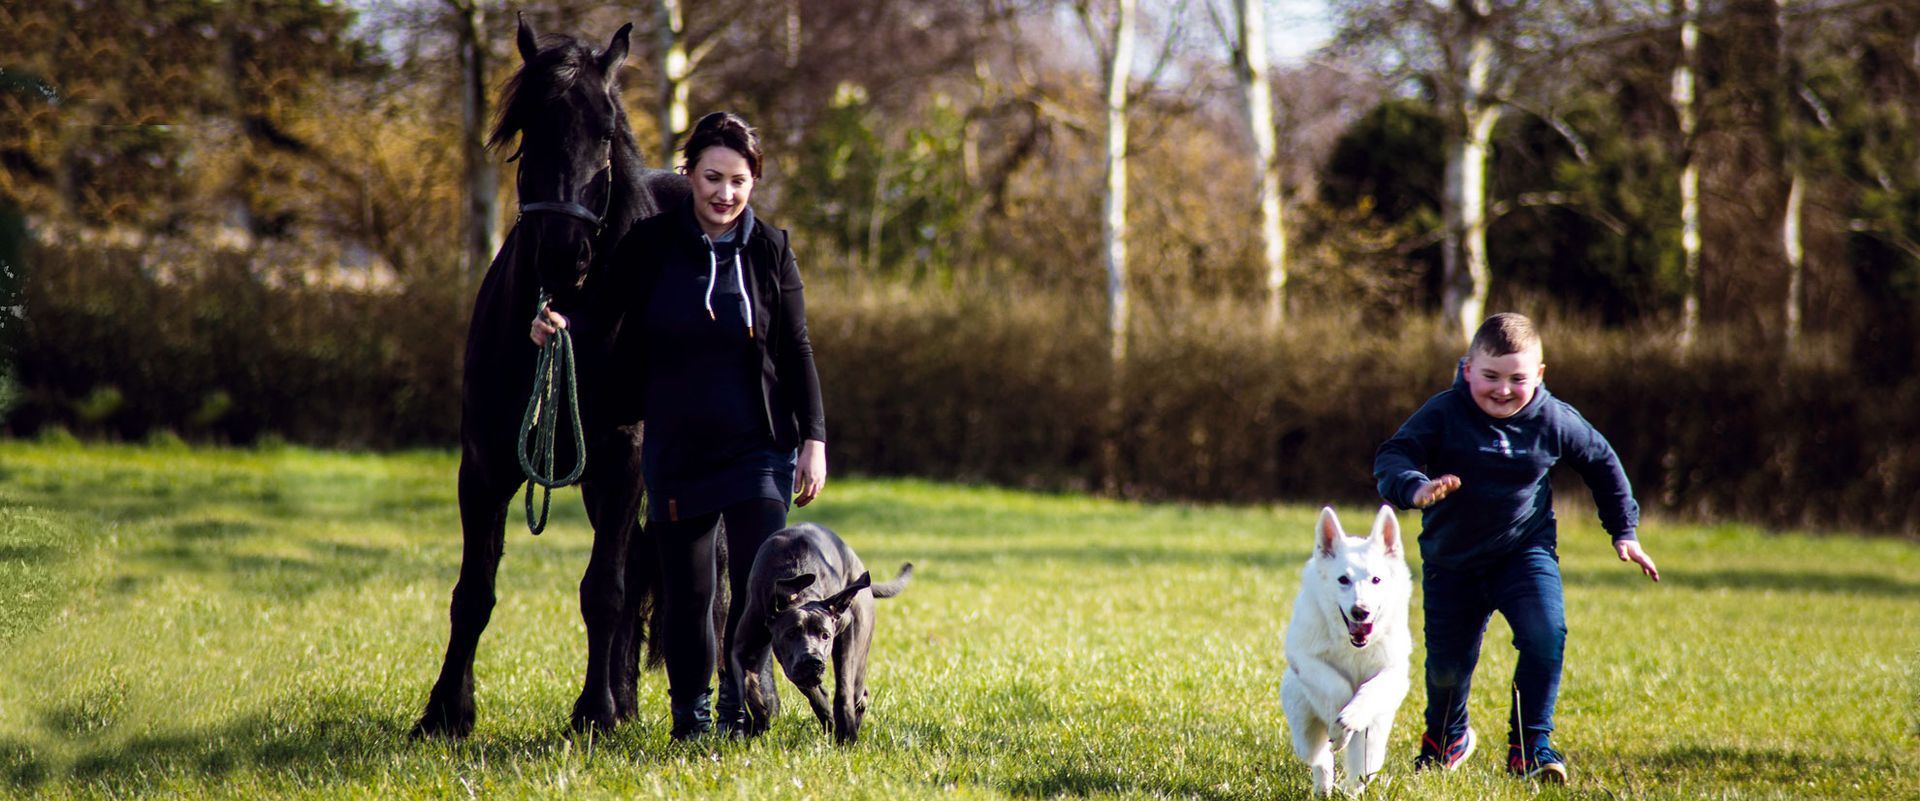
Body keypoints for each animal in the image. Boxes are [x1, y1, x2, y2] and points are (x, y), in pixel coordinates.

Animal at [411, 17, 691, 737]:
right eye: (528, 126)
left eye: (605, 128)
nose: (565, 252)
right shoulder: (484, 464)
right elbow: (474, 589)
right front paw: (445, 711)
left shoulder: (622, 461)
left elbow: (604, 590)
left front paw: (593, 712)